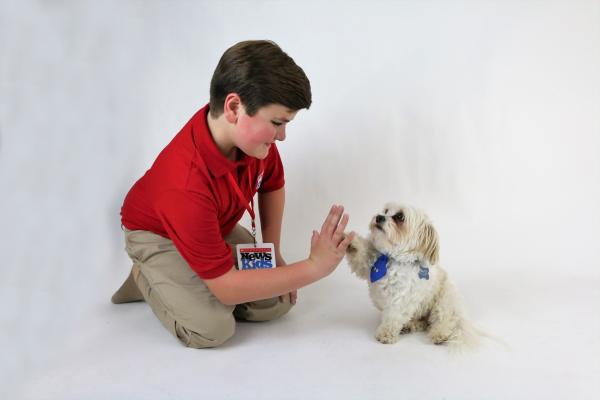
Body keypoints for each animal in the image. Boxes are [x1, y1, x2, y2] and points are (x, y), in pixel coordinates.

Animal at [346, 203, 478, 346]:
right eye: (386, 211)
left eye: (400, 217)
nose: (379, 217)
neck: (391, 258)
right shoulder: (368, 264)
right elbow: (362, 255)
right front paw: (351, 241)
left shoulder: (400, 299)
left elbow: (393, 317)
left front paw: (386, 333)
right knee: (425, 322)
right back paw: (411, 325)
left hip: (444, 300)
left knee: (444, 319)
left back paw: (440, 333)